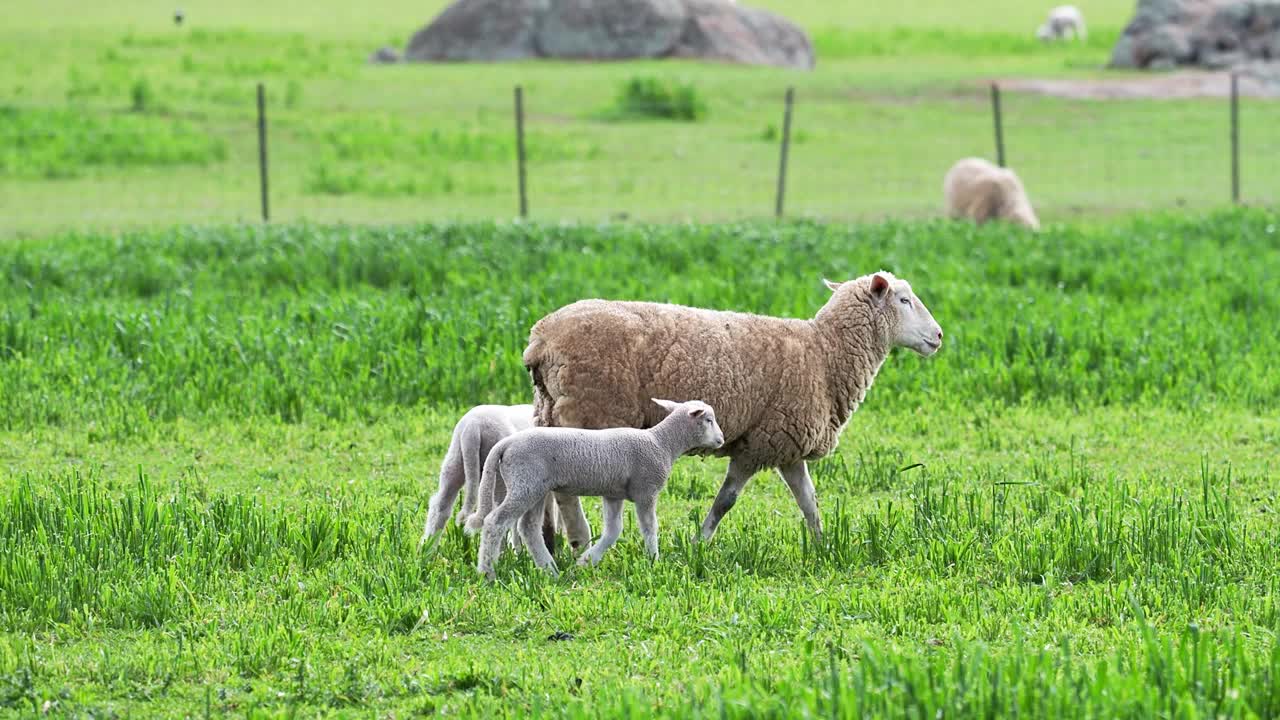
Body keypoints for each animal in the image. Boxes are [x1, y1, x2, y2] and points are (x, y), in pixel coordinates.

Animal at [473, 394, 732, 573]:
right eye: (709, 420)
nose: (721, 440)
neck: (662, 443)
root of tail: (506, 444)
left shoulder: (613, 494)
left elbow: (613, 530)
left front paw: (586, 561)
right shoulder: (646, 490)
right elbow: (650, 528)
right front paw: (654, 560)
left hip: (534, 487)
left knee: (528, 528)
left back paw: (549, 571)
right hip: (525, 484)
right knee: (495, 522)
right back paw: (487, 573)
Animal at [517, 271, 942, 540]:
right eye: (904, 300)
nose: (938, 336)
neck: (823, 352)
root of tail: (540, 340)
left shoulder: (787, 444)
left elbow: (809, 501)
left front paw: (823, 545)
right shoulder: (759, 444)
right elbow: (726, 502)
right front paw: (699, 544)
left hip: (551, 411)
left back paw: (550, 540)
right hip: (589, 412)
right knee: (565, 491)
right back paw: (578, 540)